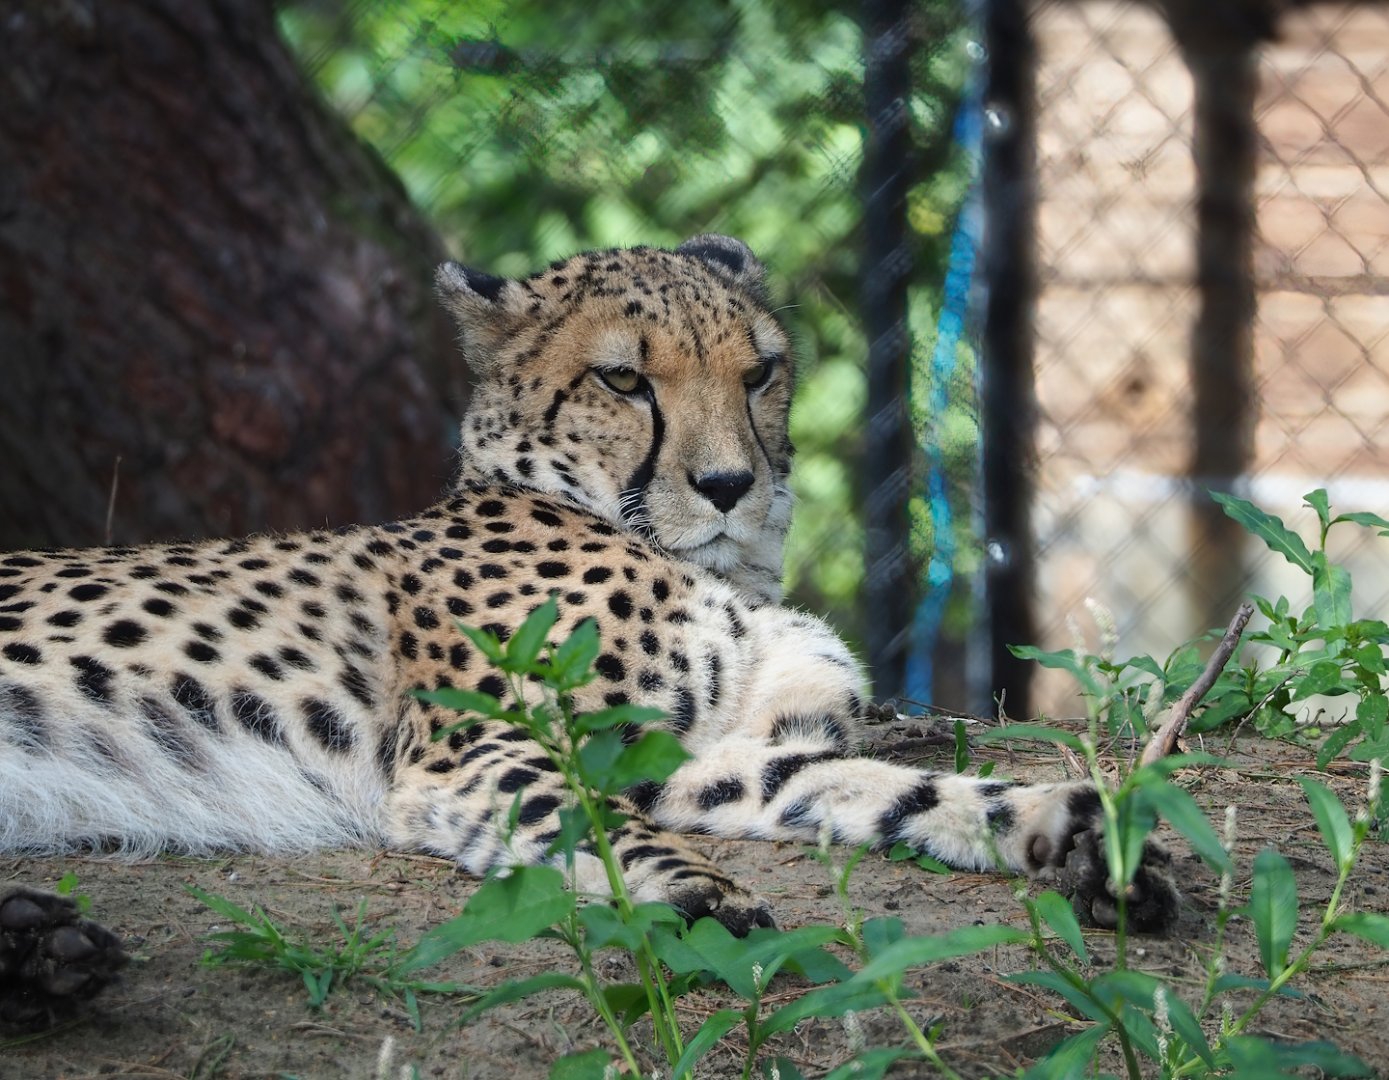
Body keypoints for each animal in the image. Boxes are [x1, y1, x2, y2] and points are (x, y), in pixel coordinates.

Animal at [0, 235, 1177, 1024]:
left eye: (758, 372)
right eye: (624, 378)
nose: (730, 486)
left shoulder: (708, 759)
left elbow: (893, 790)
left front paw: (1076, 834)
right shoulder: (480, 750)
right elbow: (593, 821)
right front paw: (700, 894)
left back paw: (43, 951)